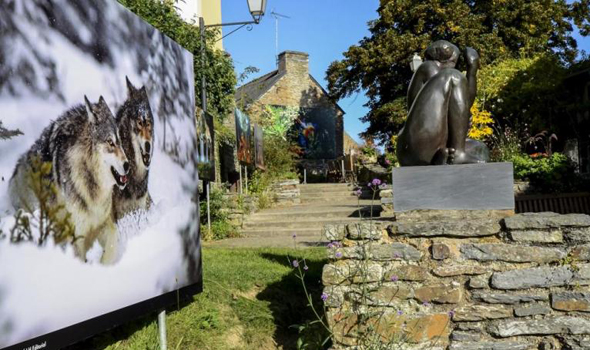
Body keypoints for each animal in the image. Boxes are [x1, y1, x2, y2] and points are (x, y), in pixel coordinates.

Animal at [9, 94, 130, 264]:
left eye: (119, 142)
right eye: (110, 142)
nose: (127, 165)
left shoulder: (103, 223)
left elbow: (113, 242)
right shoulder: (76, 236)